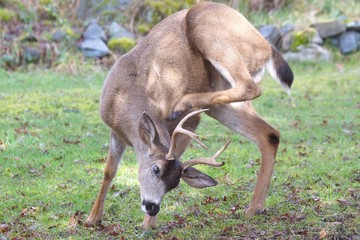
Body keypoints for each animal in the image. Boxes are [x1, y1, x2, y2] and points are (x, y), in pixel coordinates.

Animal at [86, 2, 292, 231]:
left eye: (175, 183)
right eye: (156, 169)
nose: (152, 207)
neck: (125, 99)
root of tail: (266, 47)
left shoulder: (189, 123)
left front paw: (148, 225)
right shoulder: (115, 130)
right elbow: (109, 171)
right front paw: (92, 219)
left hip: (206, 29)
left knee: (250, 88)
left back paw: (183, 102)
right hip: (221, 102)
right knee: (270, 134)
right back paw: (254, 208)